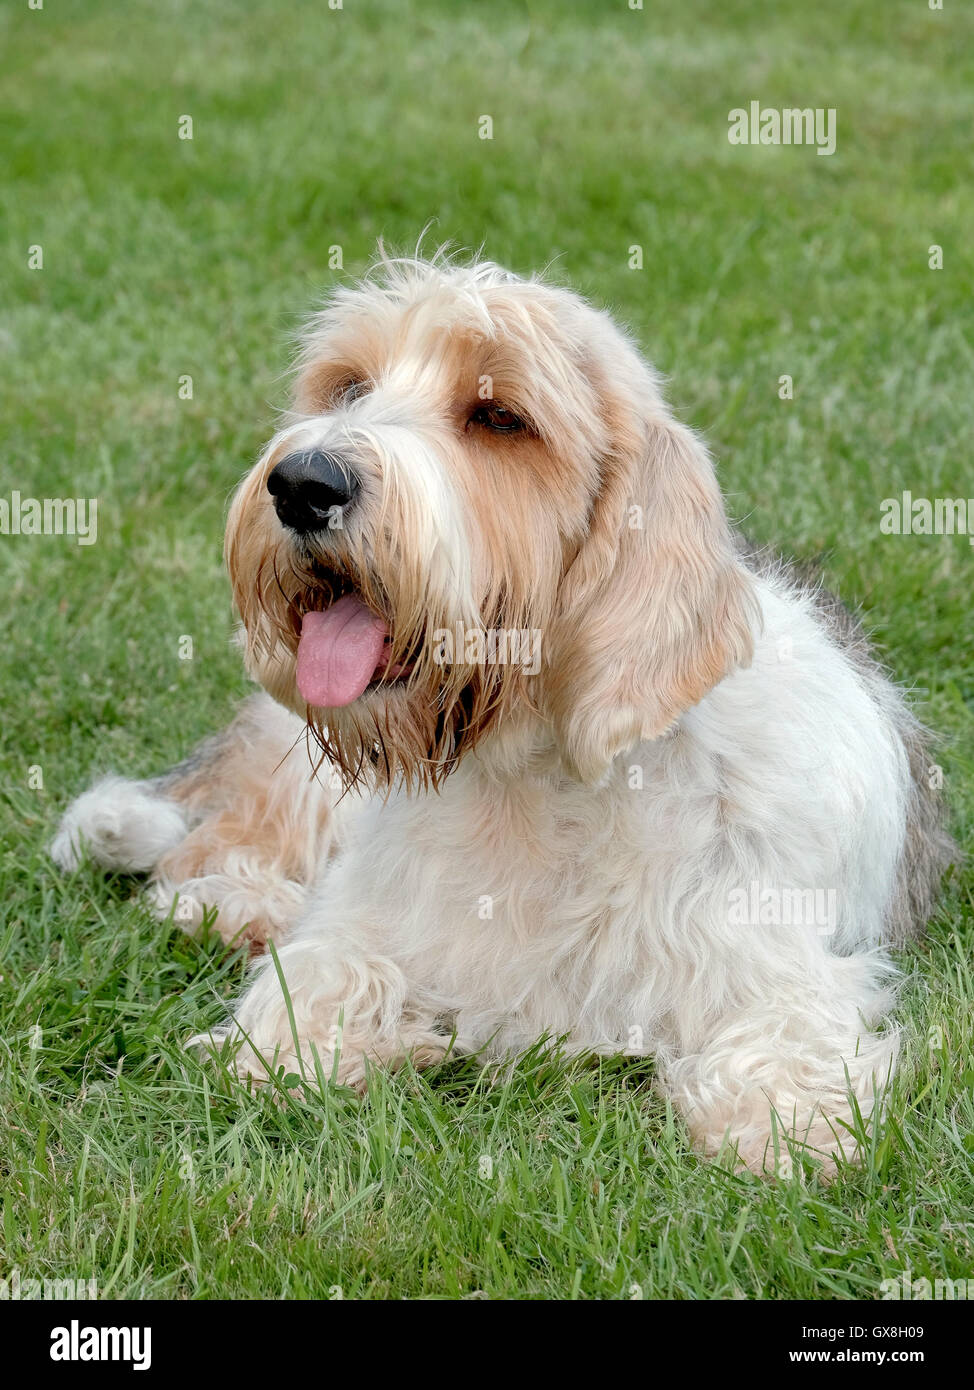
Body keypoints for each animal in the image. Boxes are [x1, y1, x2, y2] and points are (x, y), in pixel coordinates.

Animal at [51, 247, 950, 1173]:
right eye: (348, 387)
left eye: (499, 417)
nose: (303, 483)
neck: (535, 778)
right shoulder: (365, 922)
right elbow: (326, 970)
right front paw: (287, 1050)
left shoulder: (783, 966)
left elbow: (781, 1038)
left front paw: (782, 1128)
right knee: (209, 846)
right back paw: (224, 905)